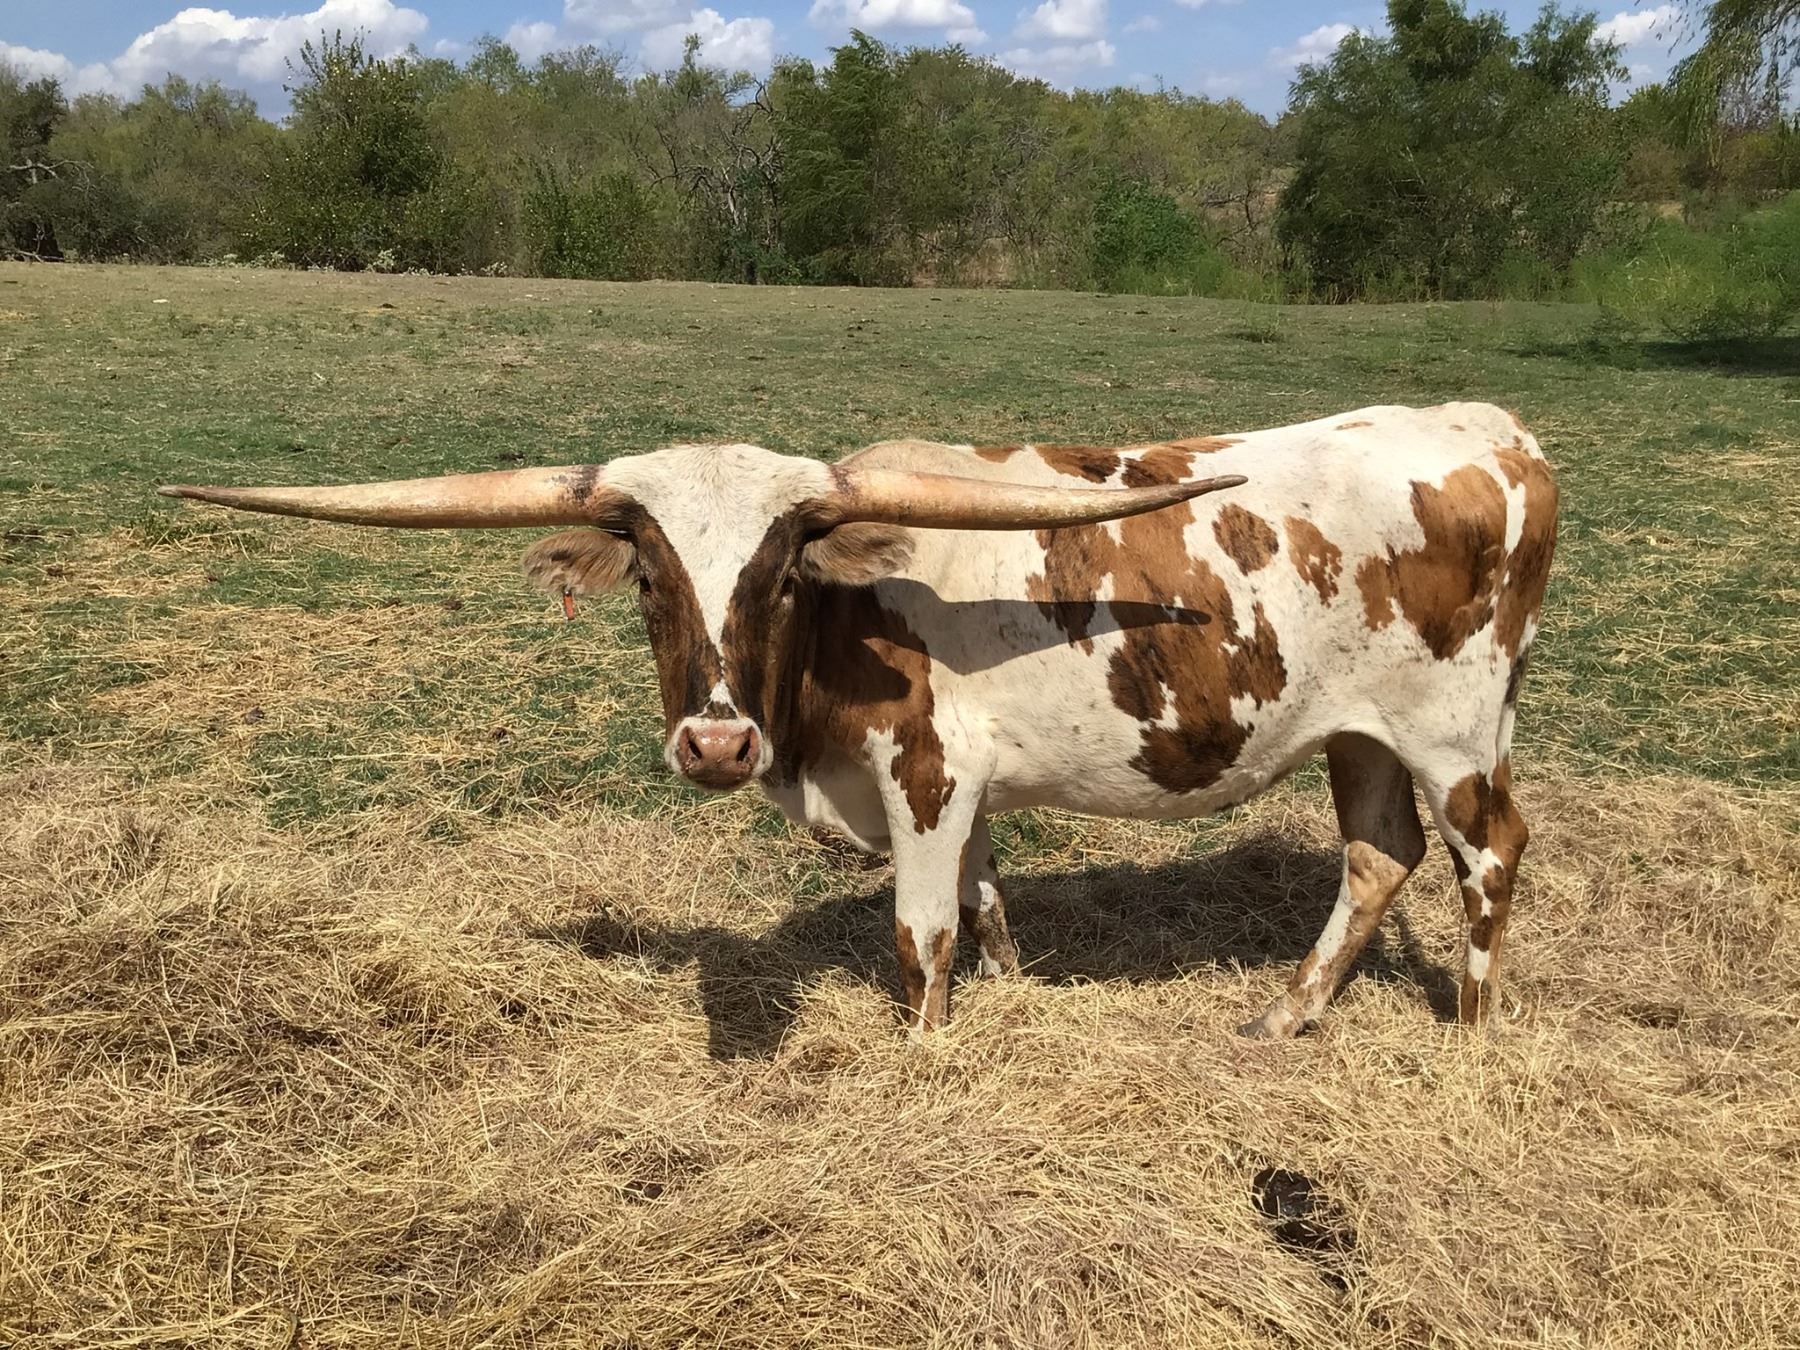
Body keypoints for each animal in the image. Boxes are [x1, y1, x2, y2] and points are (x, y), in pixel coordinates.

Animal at [160, 401, 1558, 1039]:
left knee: (1489, 854)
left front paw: (926, 1053)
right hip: (1361, 735)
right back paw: (1285, 1017)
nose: (716, 743)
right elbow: (988, 913)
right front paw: (1012, 1002)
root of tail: (1491, 431)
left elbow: (920, 934)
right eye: (652, 577)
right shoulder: (967, 797)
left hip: (1452, 737)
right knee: (1378, 857)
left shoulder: (928, 780)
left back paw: (1470, 1036)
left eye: (784, 573)